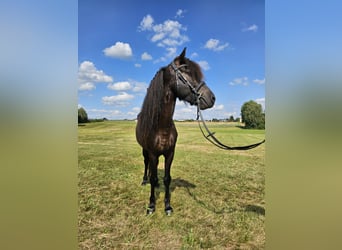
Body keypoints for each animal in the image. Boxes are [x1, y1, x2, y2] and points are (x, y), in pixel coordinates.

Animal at [135, 48, 215, 215]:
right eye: (186, 71)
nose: (212, 98)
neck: (161, 126)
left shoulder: (170, 153)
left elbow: (167, 178)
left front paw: (167, 206)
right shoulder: (152, 153)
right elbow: (153, 175)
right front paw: (151, 205)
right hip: (145, 150)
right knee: (146, 164)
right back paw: (145, 180)